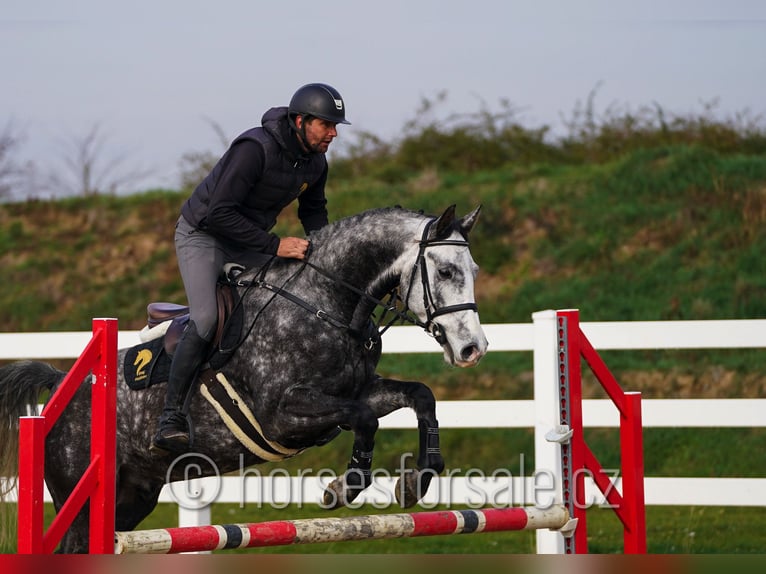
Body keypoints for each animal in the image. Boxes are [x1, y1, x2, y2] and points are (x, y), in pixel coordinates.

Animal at [0, 204, 488, 553]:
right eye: (445, 271)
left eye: (474, 271)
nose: (473, 349)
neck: (325, 302)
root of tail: (62, 384)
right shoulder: (283, 415)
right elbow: (365, 419)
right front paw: (342, 488)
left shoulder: (356, 392)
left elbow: (420, 396)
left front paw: (418, 480)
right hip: (81, 498)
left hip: (133, 497)